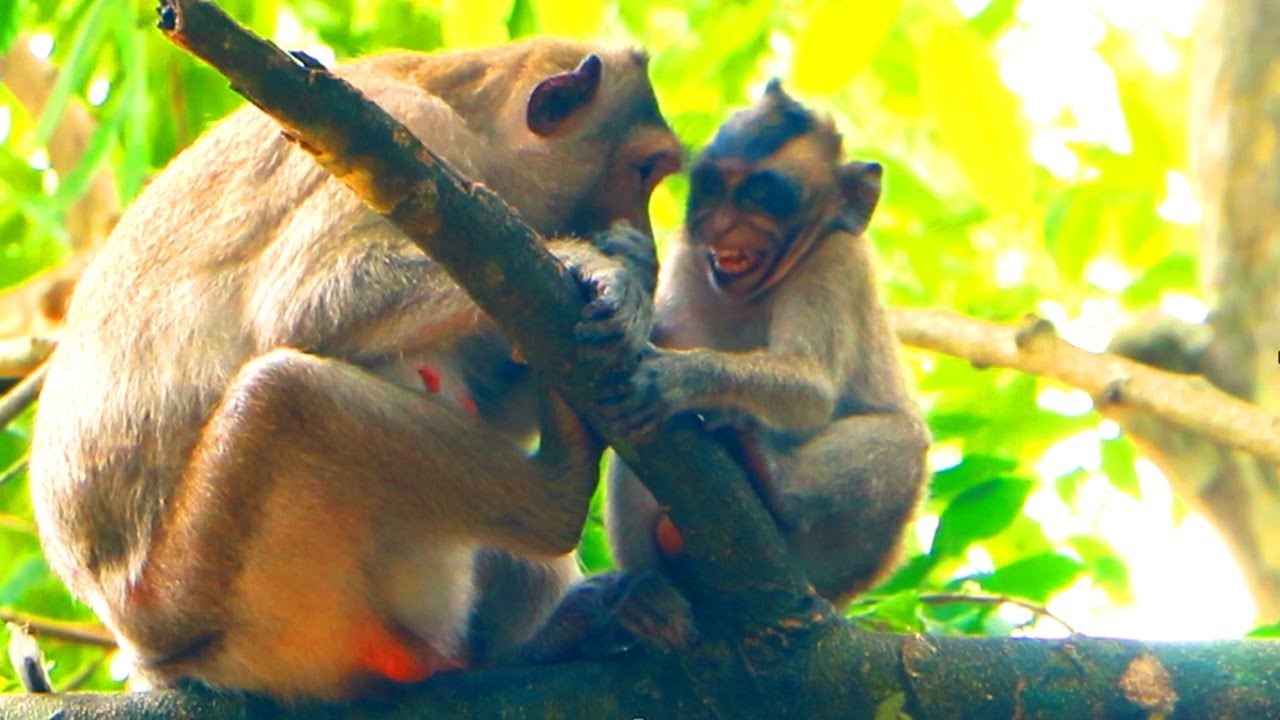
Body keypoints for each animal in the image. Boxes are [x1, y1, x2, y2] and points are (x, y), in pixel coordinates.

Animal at [27, 38, 682, 699]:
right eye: (645, 171)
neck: (472, 120)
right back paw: (560, 491)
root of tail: (150, 659)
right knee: (283, 397)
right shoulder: (396, 139)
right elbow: (306, 301)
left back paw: (545, 641)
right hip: (207, 593)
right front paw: (602, 265)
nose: (647, 234)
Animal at [601, 81, 931, 608]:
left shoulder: (838, 262)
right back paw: (654, 597)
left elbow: (811, 388)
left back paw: (773, 480)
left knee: (904, 441)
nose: (722, 227)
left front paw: (679, 377)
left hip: (846, 559)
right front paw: (630, 277)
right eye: (713, 188)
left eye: (761, 195)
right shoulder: (689, 258)